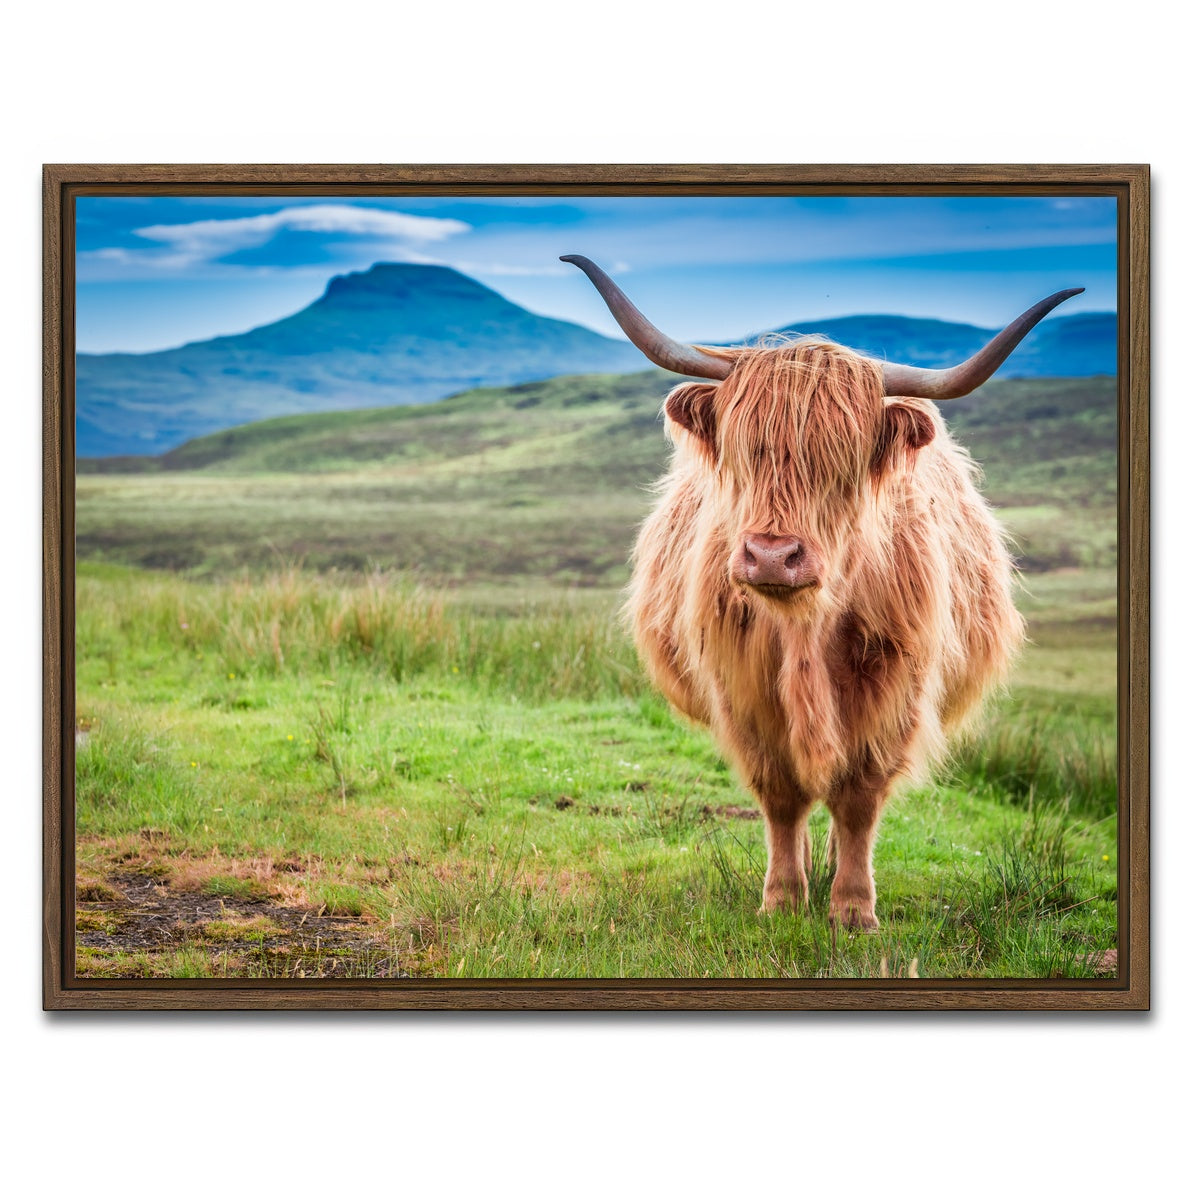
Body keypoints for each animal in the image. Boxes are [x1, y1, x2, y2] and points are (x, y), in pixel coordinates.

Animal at [562, 254, 1083, 929]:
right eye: (744, 453)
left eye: (842, 461)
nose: (771, 556)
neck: (805, 628)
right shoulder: (743, 693)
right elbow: (782, 797)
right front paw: (783, 897)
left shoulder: (893, 693)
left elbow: (859, 798)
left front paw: (854, 908)